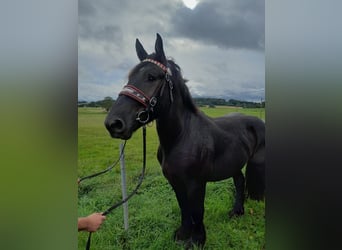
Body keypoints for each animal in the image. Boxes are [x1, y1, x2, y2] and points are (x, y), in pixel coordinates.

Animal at [104, 34, 264, 247]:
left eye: (151, 77)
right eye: (129, 77)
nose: (113, 123)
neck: (181, 137)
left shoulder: (196, 183)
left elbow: (197, 211)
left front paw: (197, 240)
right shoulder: (175, 181)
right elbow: (184, 208)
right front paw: (182, 235)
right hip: (234, 164)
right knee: (239, 181)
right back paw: (237, 211)